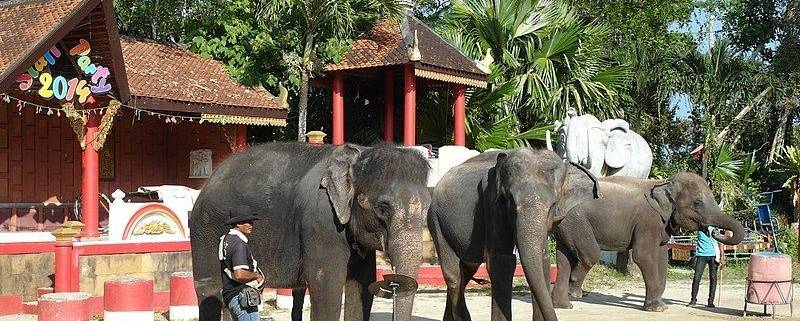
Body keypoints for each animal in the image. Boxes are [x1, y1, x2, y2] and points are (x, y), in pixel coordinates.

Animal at [189, 142, 432, 320]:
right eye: (382, 208)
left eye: (428, 207)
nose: (393, 282)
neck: (359, 154)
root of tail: (209, 179)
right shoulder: (322, 221)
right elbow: (327, 285)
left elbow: (362, 284)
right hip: (205, 228)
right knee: (210, 289)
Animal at [428, 148, 596, 320]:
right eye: (510, 201)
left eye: (553, 205)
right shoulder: (492, 205)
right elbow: (502, 260)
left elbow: (542, 259)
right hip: (436, 221)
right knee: (454, 276)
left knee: (466, 270)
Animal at [552, 172, 748, 310]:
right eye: (697, 203)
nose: (716, 231)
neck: (664, 183)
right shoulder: (648, 220)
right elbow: (644, 255)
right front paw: (657, 309)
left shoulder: (662, 224)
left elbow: (662, 256)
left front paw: (661, 306)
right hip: (576, 221)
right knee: (590, 254)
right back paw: (574, 292)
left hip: (566, 224)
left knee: (563, 259)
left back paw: (563, 305)